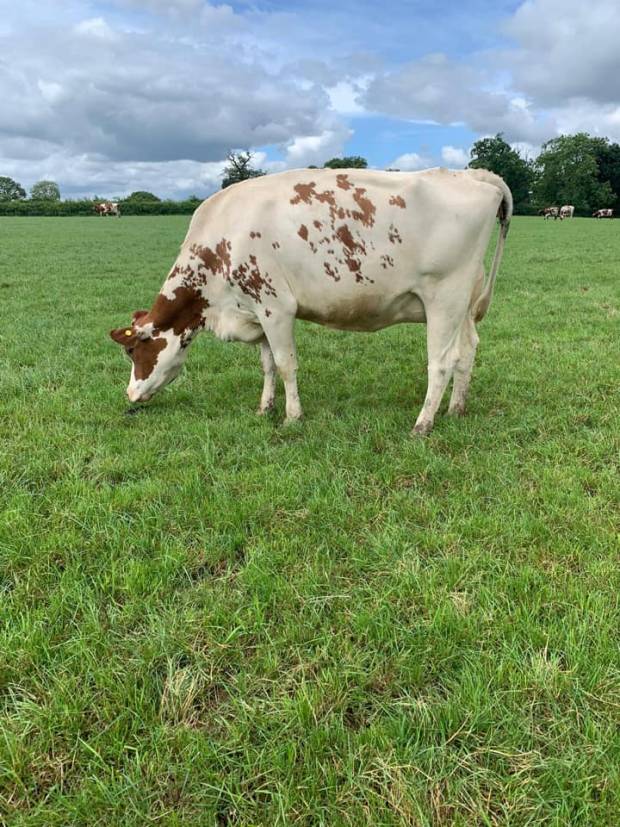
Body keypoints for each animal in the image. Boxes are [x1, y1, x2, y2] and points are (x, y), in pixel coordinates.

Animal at [109, 170, 512, 440]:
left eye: (132, 351)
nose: (129, 394)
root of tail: (472, 174)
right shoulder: (256, 311)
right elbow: (268, 365)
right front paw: (265, 407)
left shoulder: (276, 307)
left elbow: (286, 365)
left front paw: (292, 416)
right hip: (463, 304)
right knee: (467, 352)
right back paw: (456, 410)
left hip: (444, 297)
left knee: (441, 362)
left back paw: (423, 424)